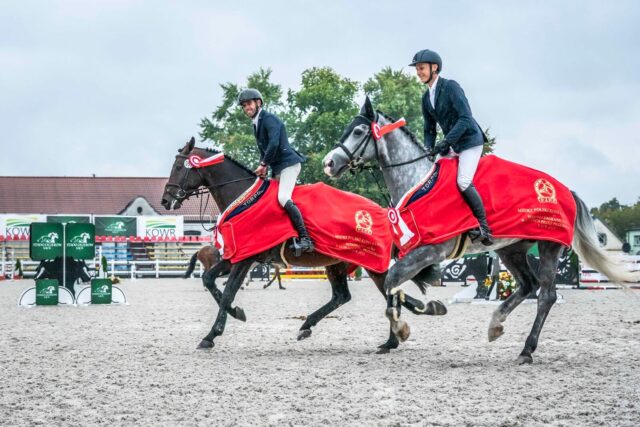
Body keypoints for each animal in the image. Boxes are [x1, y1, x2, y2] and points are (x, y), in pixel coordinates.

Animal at [161, 137, 444, 352]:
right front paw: (237, 313)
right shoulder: (235, 257)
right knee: (343, 295)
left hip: (372, 264)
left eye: (179, 167)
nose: (166, 200)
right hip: (337, 263)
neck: (242, 198)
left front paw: (211, 335)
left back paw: (396, 336)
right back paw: (310, 326)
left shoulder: (245, 258)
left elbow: (228, 291)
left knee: (389, 292)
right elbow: (209, 279)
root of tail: (384, 212)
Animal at [322, 98, 636, 364]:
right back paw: (496, 325)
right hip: (511, 248)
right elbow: (392, 284)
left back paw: (526, 350)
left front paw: (406, 325)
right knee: (528, 285)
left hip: (548, 246)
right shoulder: (413, 250)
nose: (328, 163)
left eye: (359, 131)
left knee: (545, 295)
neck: (416, 182)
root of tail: (565, 190)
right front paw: (411, 321)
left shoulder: (431, 250)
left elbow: (392, 281)